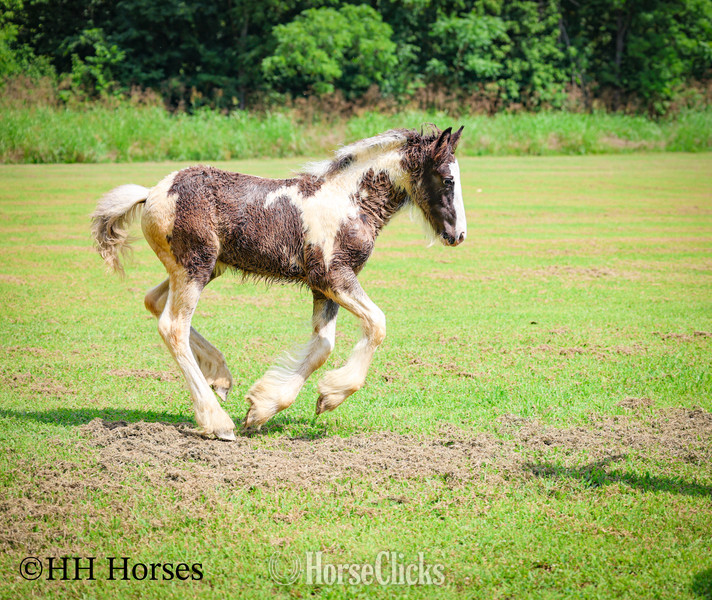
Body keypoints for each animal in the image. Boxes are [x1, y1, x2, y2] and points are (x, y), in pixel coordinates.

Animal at [91, 126, 466, 441]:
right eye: (448, 179)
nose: (459, 235)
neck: (347, 202)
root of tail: (152, 191)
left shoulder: (323, 287)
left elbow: (322, 346)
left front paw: (262, 408)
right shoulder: (333, 276)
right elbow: (376, 324)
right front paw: (331, 395)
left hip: (204, 268)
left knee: (153, 301)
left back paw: (220, 376)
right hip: (194, 267)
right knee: (172, 326)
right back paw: (217, 422)